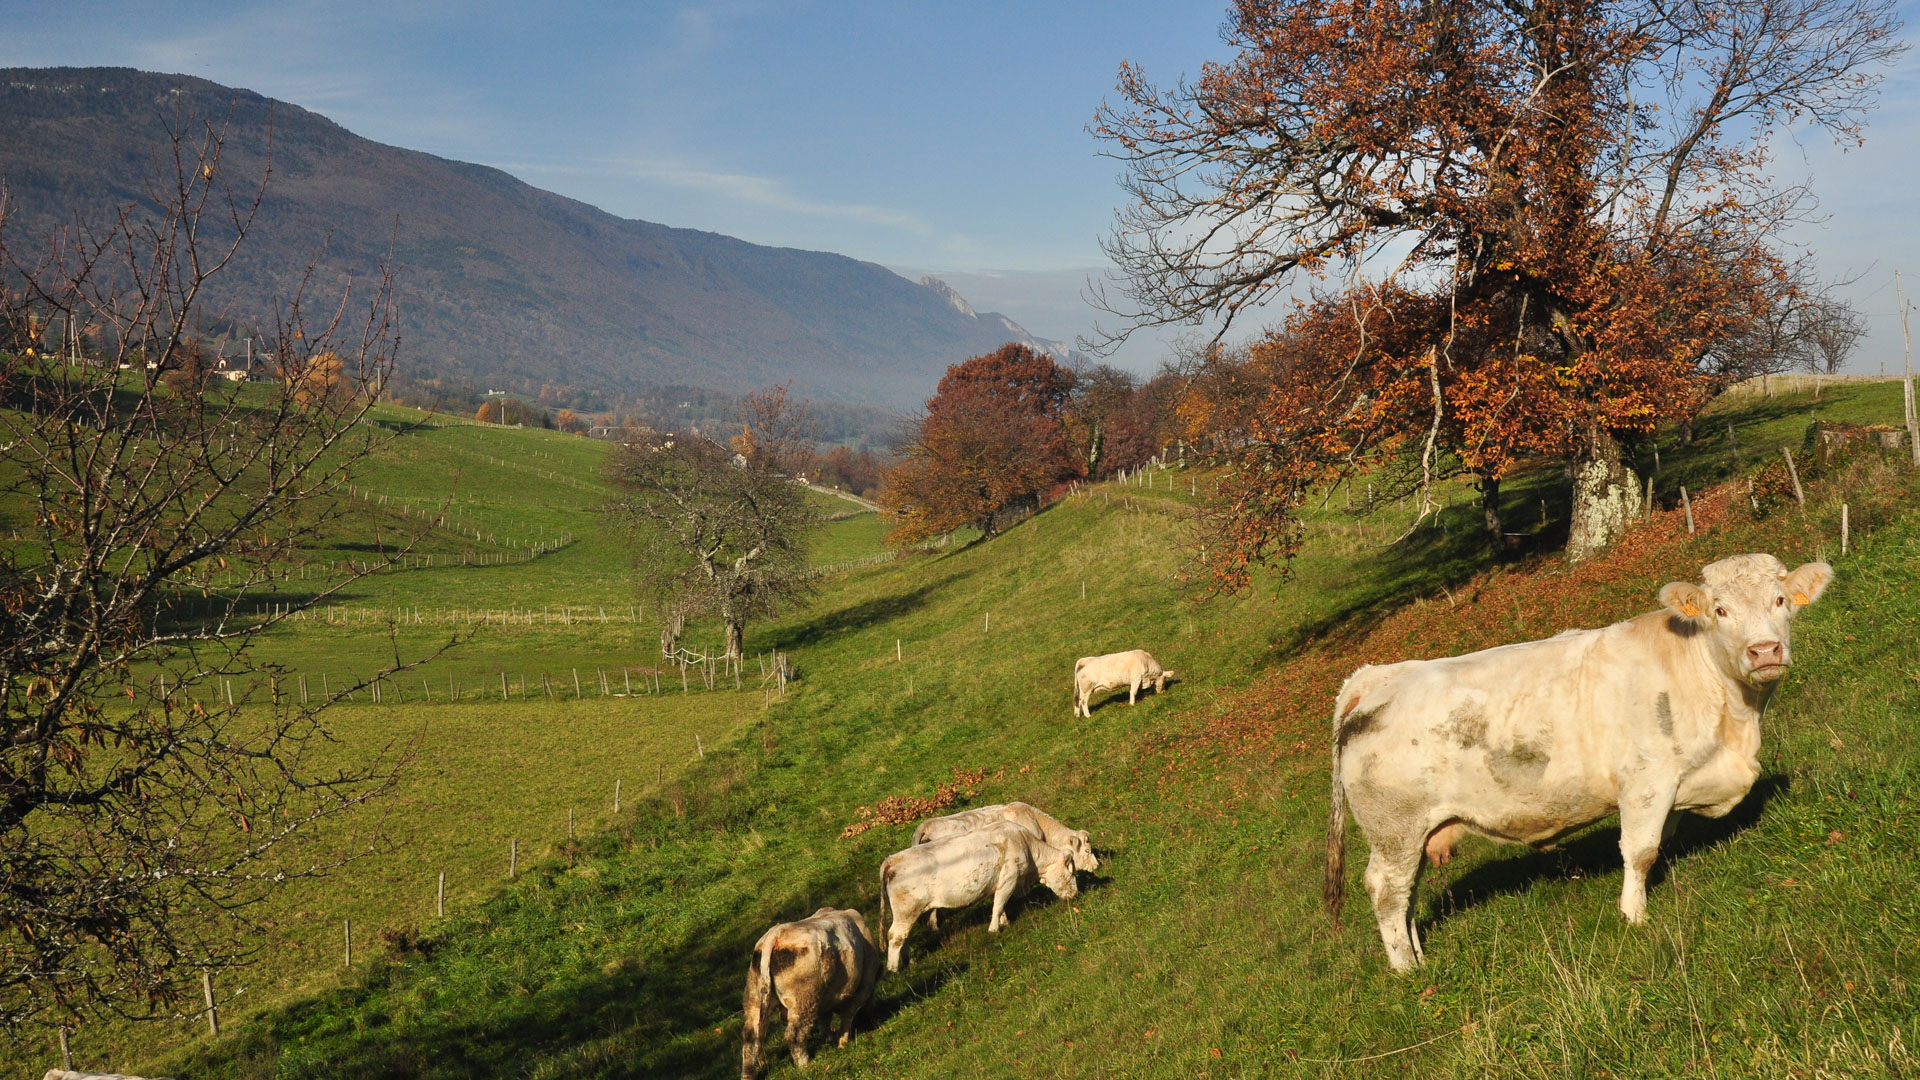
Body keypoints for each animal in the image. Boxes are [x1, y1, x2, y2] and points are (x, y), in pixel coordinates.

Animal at [741, 903, 883, 1068]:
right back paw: (805, 1064)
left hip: (755, 997)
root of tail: (777, 933)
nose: (872, 1014)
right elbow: (847, 1015)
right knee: (794, 1035)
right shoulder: (863, 988)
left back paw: (754, 1067)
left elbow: (824, 1019)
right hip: (803, 1000)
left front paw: (829, 1039)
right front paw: (841, 1041)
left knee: (752, 1035)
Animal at [879, 814, 1082, 968]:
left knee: (905, 937)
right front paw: (993, 929)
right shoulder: (1009, 878)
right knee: (895, 936)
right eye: (1072, 873)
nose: (1076, 894)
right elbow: (998, 904)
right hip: (907, 910)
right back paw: (894, 968)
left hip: (908, 914)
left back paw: (910, 961)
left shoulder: (998, 882)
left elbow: (1000, 905)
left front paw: (1004, 922)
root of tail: (891, 860)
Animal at [1320, 553, 1827, 968]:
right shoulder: (1646, 782)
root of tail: (1372, 678)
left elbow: (1661, 841)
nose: (1764, 651)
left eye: (1781, 600)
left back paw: (1419, 954)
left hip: (1416, 831)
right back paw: (1407, 968)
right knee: (1387, 891)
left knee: (1407, 893)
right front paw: (1634, 916)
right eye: (1719, 610)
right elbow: (1640, 851)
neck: (1734, 722)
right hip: (1394, 830)